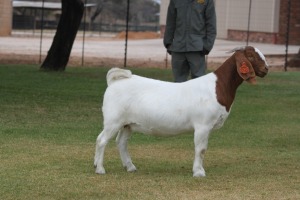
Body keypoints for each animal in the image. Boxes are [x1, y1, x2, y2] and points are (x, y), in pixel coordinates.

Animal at [93, 45, 268, 177]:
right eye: (251, 56)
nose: (266, 69)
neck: (217, 87)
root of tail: (115, 81)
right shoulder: (203, 125)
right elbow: (201, 149)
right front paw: (198, 172)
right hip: (113, 120)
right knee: (102, 140)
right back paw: (100, 168)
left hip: (127, 123)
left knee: (121, 142)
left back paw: (129, 167)